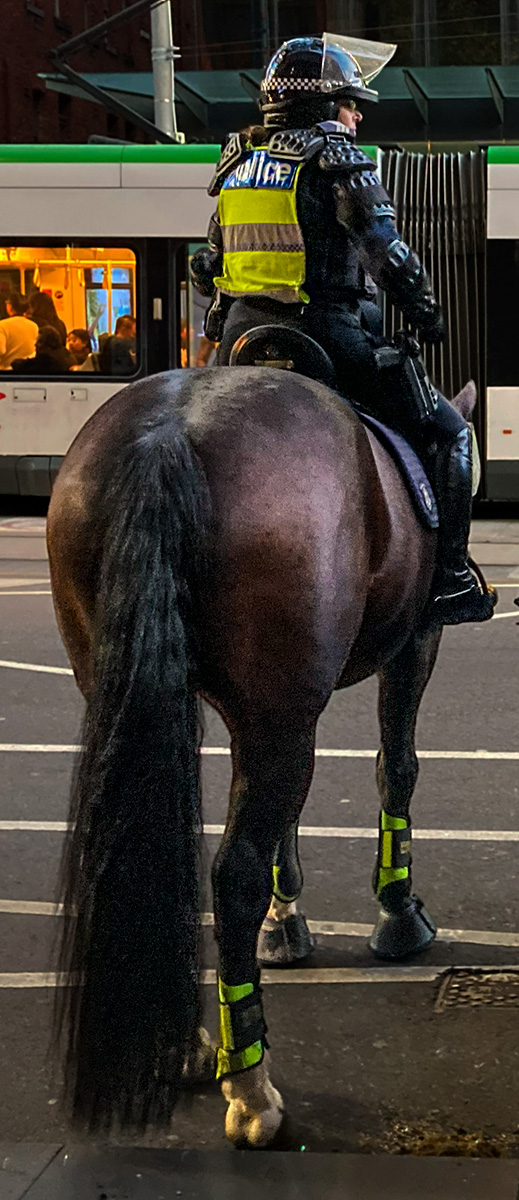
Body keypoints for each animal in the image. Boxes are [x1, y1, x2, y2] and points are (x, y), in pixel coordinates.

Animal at [47, 365, 475, 1148]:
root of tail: (167, 436)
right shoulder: (413, 642)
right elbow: (396, 767)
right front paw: (398, 910)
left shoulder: (279, 712)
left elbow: (287, 822)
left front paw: (287, 924)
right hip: (285, 703)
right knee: (232, 874)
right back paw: (249, 1087)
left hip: (144, 687)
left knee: (163, 842)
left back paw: (181, 1042)